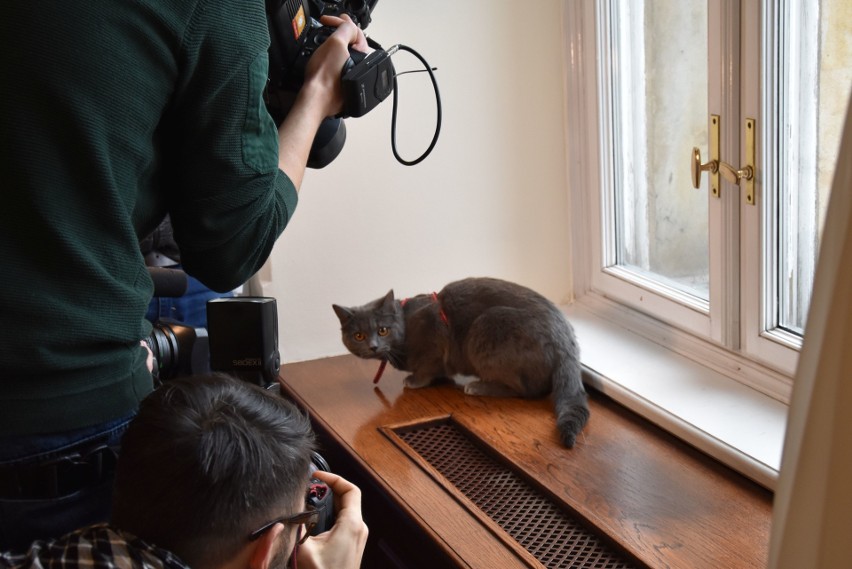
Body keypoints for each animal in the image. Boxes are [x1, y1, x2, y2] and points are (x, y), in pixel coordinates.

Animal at [332, 276, 592, 448]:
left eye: (383, 330)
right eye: (359, 336)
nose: (373, 346)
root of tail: (567, 342)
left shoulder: (435, 335)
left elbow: (427, 366)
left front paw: (415, 381)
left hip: (486, 327)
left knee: (528, 390)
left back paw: (477, 386)